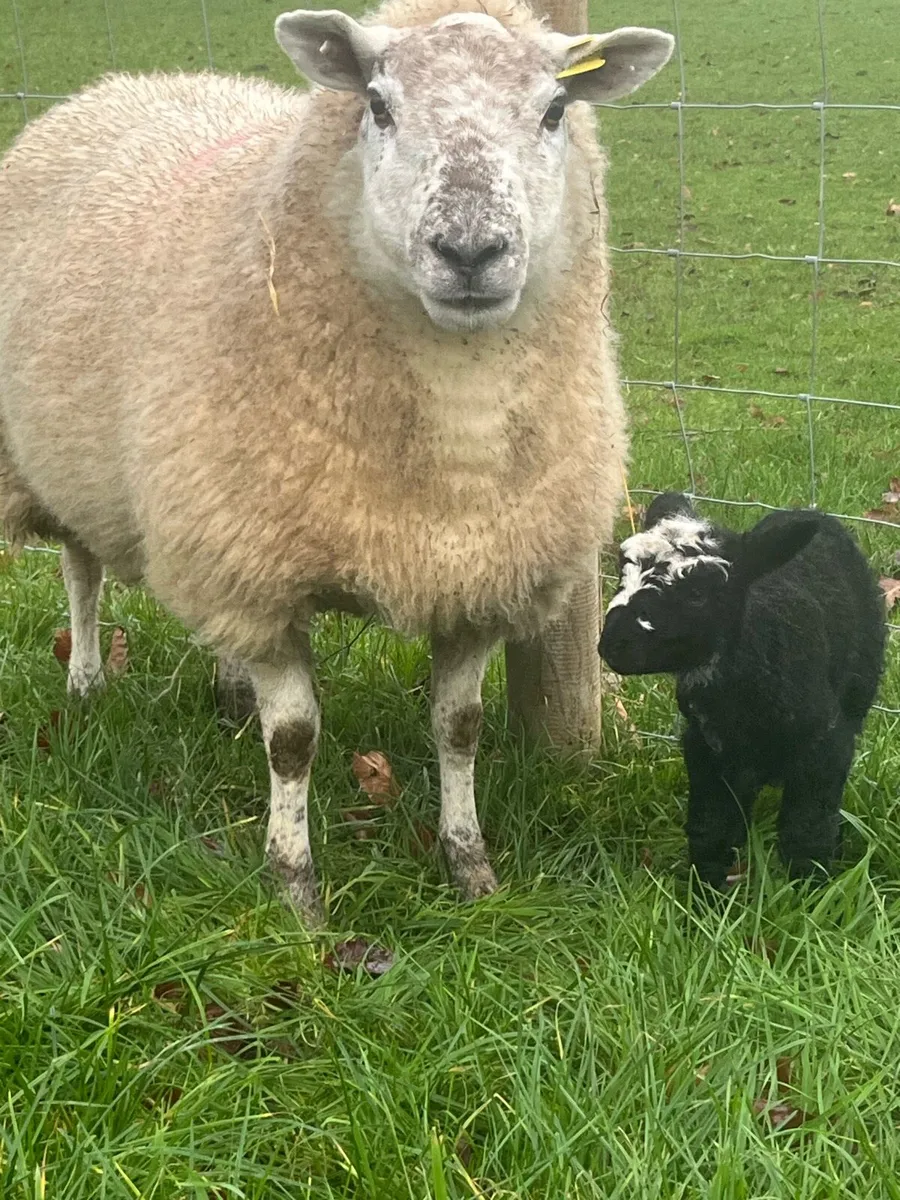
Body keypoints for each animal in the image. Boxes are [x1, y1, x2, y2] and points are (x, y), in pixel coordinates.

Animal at [0, 0, 674, 925]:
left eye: (554, 111)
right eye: (379, 105)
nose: (470, 250)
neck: (457, 443)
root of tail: (125, 84)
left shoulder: (475, 575)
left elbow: (458, 729)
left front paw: (471, 869)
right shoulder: (263, 567)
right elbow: (294, 742)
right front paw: (297, 894)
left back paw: (227, 695)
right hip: (59, 465)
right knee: (81, 571)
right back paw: (87, 683)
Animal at [599, 493, 886, 890]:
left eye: (698, 594)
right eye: (621, 574)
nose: (613, 645)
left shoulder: (827, 745)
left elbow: (807, 831)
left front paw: (807, 891)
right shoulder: (706, 750)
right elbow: (712, 828)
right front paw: (708, 892)